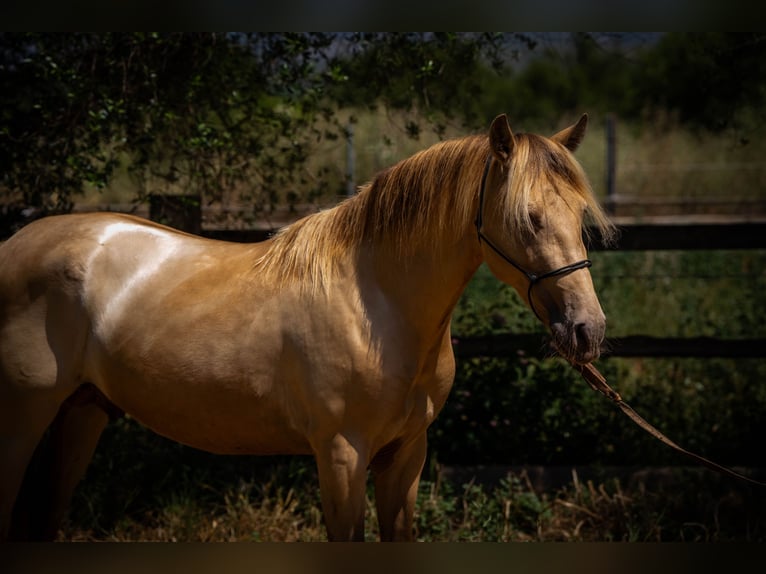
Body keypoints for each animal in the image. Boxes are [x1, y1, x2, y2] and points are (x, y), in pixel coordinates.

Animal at [0, 114, 614, 541]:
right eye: (527, 218)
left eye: (580, 218)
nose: (588, 330)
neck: (376, 307)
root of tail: (15, 244)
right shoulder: (342, 456)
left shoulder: (406, 457)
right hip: (25, 417)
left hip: (83, 411)